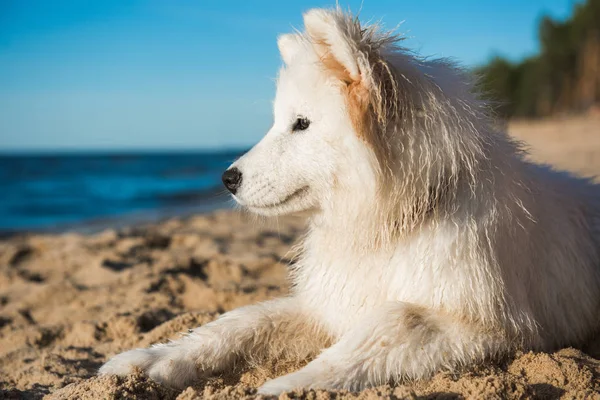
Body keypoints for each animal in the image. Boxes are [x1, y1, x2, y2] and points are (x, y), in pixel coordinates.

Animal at [101, 7, 600, 396]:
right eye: (279, 120)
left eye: (301, 123)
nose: (227, 179)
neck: (391, 224)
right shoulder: (329, 305)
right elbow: (240, 320)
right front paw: (151, 360)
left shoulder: (489, 326)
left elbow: (394, 321)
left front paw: (287, 385)